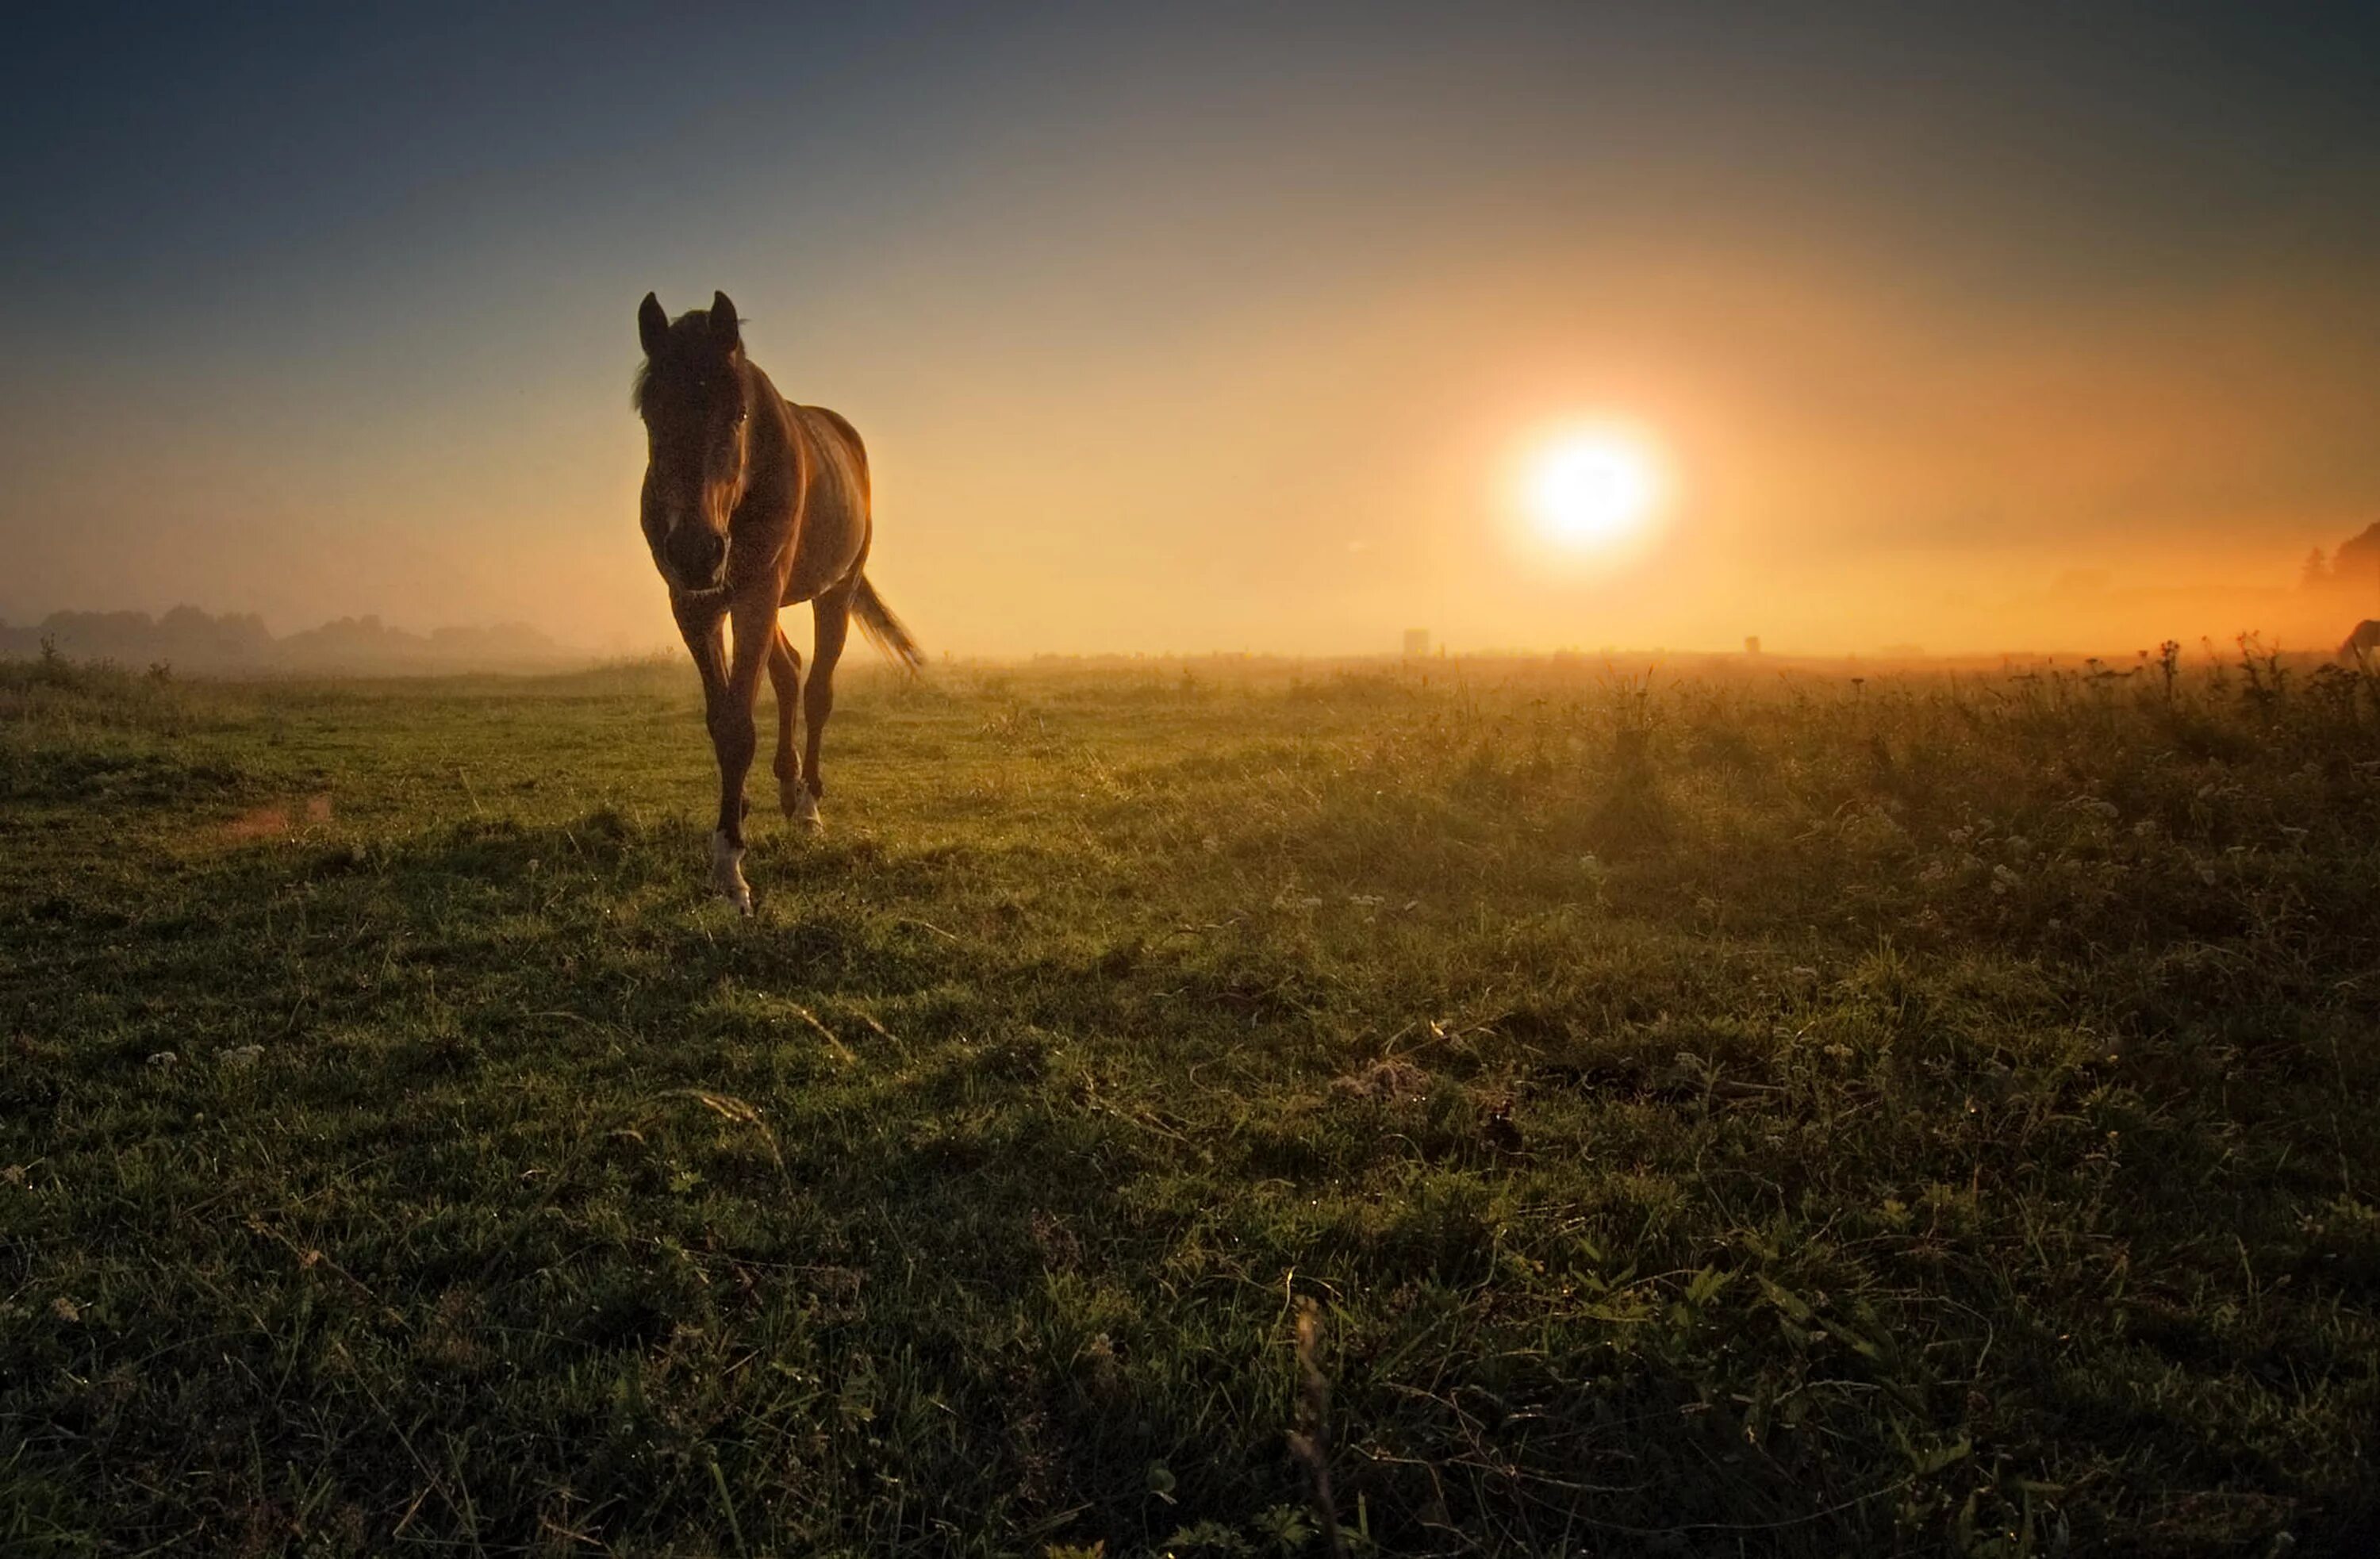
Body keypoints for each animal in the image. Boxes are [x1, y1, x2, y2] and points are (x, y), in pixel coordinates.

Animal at [633, 289, 919, 914]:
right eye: (650, 412)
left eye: (738, 414)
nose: (695, 550)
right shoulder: (694, 605)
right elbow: (723, 718)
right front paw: (732, 824)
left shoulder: (756, 593)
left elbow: (741, 725)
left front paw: (730, 868)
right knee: (788, 673)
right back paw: (784, 788)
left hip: (833, 591)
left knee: (816, 691)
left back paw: (808, 805)